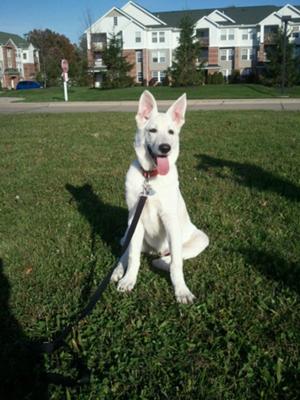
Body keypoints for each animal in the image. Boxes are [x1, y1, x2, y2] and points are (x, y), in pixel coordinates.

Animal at [112, 91, 209, 304]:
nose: (165, 148)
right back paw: (117, 271)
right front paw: (128, 280)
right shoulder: (136, 220)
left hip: (200, 238)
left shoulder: (170, 220)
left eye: (171, 132)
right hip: (129, 232)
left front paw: (181, 290)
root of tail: (155, 251)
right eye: (153, 130)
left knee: (173, 257)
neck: (150, 178)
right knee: (126, 252)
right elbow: (133, 258)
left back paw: (160, 261)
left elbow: (176, 264)